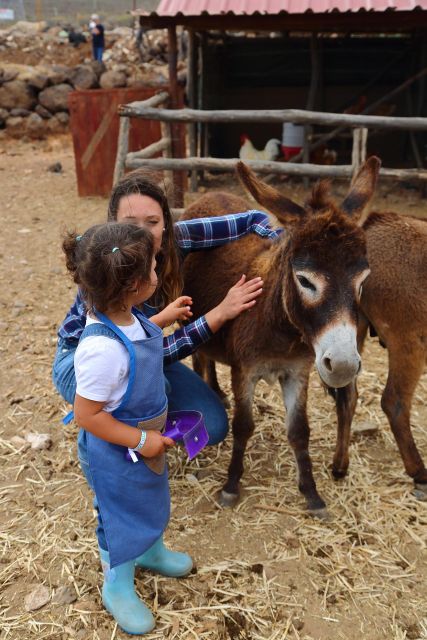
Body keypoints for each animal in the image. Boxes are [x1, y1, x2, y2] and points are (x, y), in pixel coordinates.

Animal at [182, 158, 379, 515]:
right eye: (305, 280)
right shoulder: (245, 371)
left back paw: (216, 390)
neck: (280, 328)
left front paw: (312, 494)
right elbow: (243, 426)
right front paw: (231, 486)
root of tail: (212, 194)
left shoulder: (297, 372)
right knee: (199, 357)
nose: (343, 366)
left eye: (362, 281)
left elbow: (300, 430)